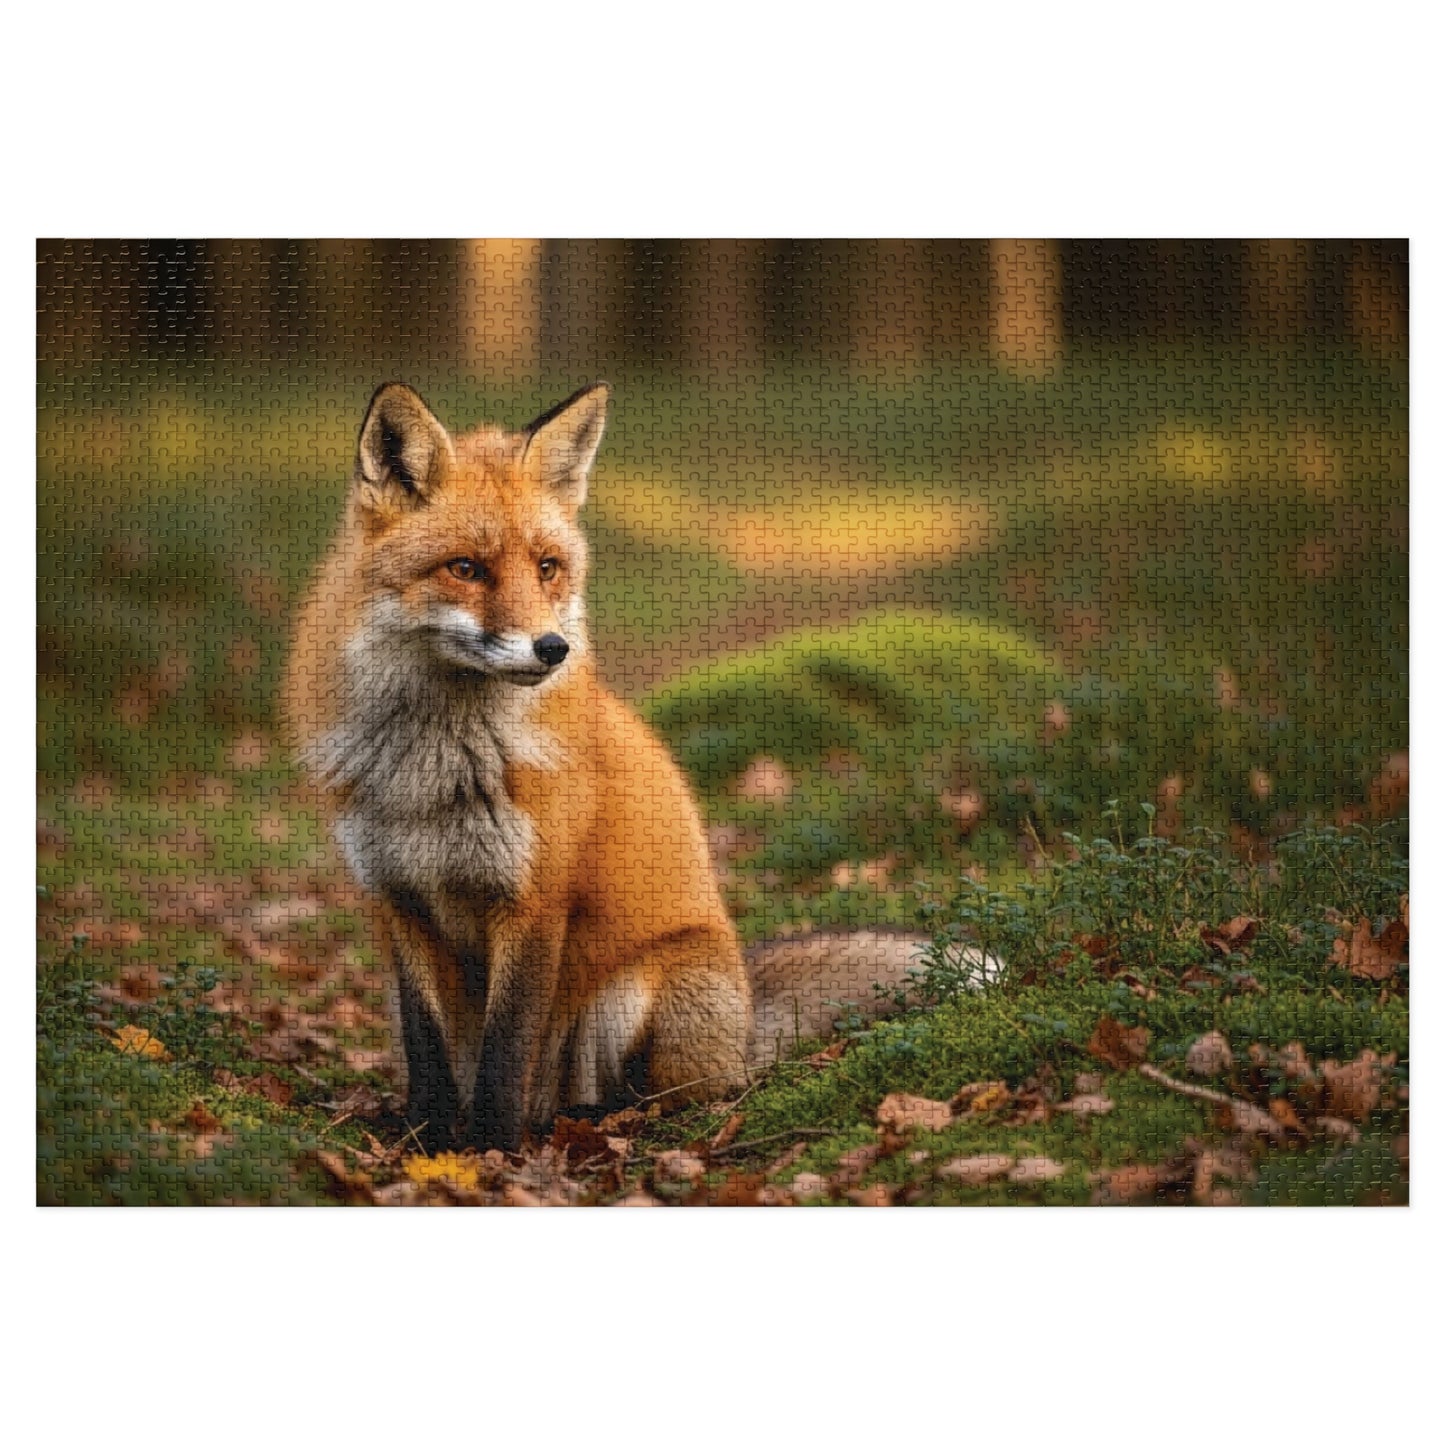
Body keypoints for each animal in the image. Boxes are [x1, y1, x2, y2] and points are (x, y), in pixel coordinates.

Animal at [284, 381, 934, 1152]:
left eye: (546, 567)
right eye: (465, 569)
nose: (552, 648)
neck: (431, 764)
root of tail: (747, 1009)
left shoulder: (534, 900)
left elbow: (505, 1055)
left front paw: (490, 1150)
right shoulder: (397, 902)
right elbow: (429, 1052)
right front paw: (428, 1143)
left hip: (634, 995)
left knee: (682, 1093)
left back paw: (590, 1120)